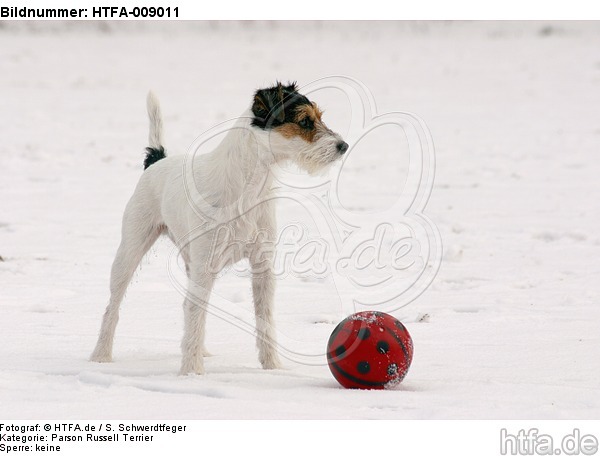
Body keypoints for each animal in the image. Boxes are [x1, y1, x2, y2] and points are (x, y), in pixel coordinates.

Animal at [91, 82, 350, 374]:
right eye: (305, 121)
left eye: (320, 116)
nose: (344, 146)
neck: (249, 186)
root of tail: (157, 161)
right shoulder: (205, 267)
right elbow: (195, 316)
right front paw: (192, 373)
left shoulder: (262, 266)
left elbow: (264, 318)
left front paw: (272, 366)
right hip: (130, 252)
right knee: (113, 308)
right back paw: (101, 355)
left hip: (191, 262)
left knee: (189, 307)